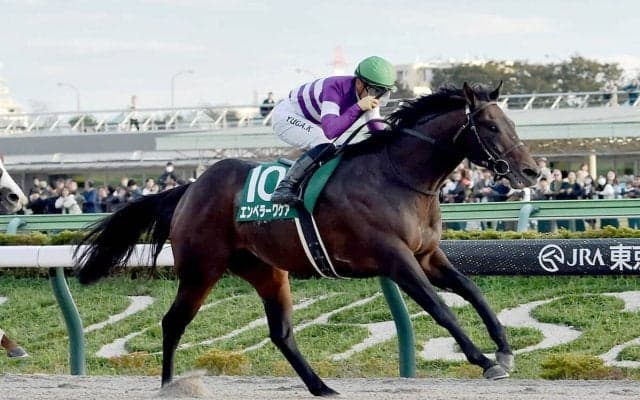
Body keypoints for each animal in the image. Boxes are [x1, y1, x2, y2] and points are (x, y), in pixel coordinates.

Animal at [74, 83, 539, 396]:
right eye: (490, 126)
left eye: (511, 122)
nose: (532, 171)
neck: (398, 176)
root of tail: (190, 187)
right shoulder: (395, 259)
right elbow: (440, 308)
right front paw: (484, 360)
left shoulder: (427, 255)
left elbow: (473, 290)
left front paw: (504, 350)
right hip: (201, 268)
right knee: (173, 321)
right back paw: (170, 385)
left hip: (266, 270)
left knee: (281, 332)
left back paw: (322, 387)